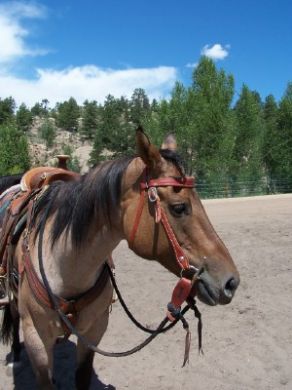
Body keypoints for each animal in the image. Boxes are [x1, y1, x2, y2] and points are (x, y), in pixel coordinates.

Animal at [0, 129, 240, 390]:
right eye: (179, 207)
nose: (231, 282)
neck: (66, 268)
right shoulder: (35, 336)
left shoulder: (94, 331)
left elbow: (82, 376)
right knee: (13, 313)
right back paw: (14, 357)